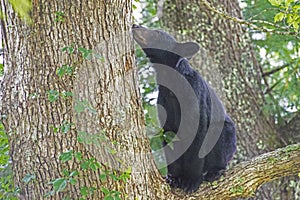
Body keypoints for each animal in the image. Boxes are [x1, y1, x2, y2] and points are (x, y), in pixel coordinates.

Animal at [132, 24, 236, 193]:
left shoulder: (194, 98)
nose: (135, 25)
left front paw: (191, 180)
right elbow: (169, 137)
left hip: (226, 132)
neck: (171, 80)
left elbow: (197, 141)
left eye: (156, 33)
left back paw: (214, 171)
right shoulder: (165, 102)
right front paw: (173, 177)